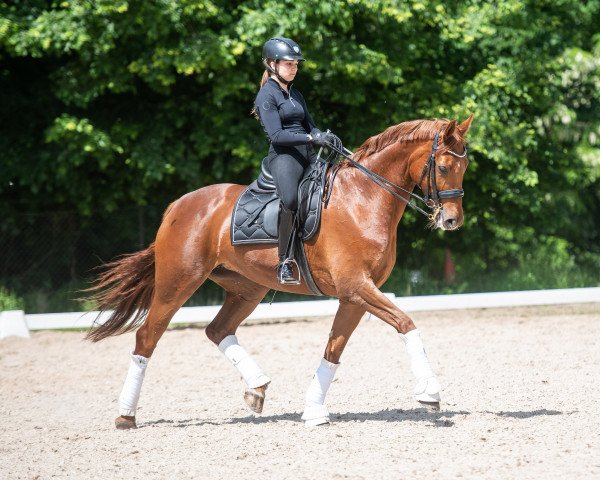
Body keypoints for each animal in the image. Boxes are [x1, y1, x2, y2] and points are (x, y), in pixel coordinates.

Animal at [85, 115, 474, 428]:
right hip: (177, 283)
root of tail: (176, 207)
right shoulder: (356, 287)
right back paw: (126, 416)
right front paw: (430, 393)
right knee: (147, 337)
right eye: (443, 167)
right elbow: (406, 324)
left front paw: (314, 410)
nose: (451, 220)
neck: (365, 198)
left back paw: (257, 389)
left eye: (465, 166)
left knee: (217, 330)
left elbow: (333, 350)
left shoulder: (355, 295)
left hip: (247, 289)